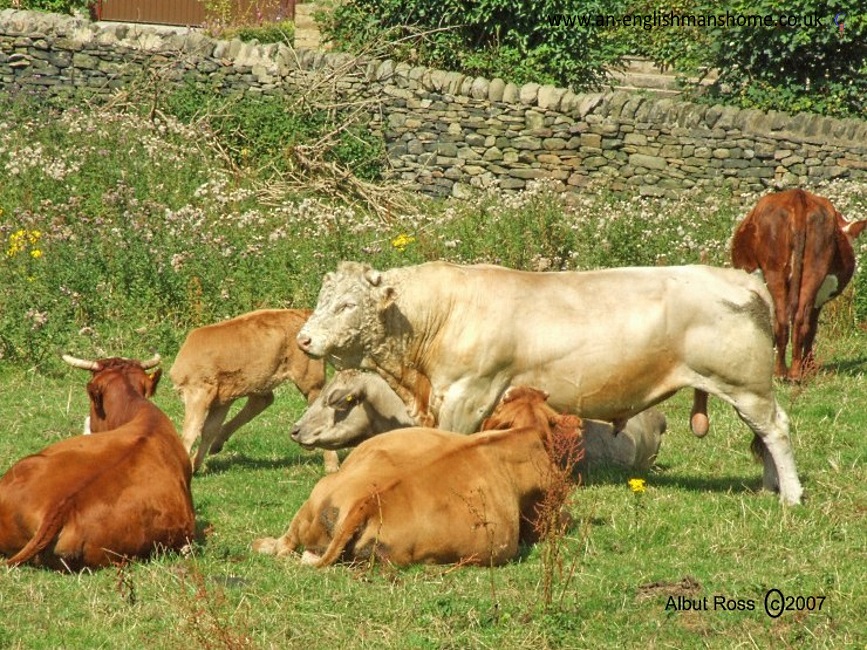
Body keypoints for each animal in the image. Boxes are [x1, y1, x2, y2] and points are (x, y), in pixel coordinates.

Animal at [170, 309, 330, 472]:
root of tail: (303, 312)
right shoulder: (221, 400)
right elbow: (208, 430)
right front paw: (194, 465)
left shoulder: (199, 394)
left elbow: (190, 432)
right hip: (260, 380)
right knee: (262, 401)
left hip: (311, 382)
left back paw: (330, 465)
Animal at [731, 189, 867, 381]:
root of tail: (798, 196)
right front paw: (809, 367)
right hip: (814, 269)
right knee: (801, 320)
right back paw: (796, 373)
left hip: (776, 272)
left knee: (782, 320)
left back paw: (781, 373)